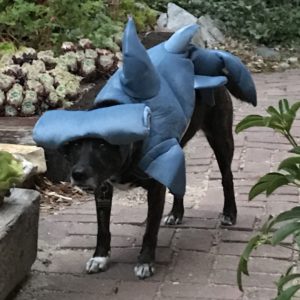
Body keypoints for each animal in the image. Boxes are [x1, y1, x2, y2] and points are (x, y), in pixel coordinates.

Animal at [60, 86, 237, 278]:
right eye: (76, 145)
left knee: (227, 177)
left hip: (221, 139)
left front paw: (145, 261)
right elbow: (102, 228)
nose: (77, 174)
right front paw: (99, 257)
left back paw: (229, 213)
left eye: (102, 145)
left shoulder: (155, 189)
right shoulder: (102, 188)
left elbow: (150, 230)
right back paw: (176, 213)